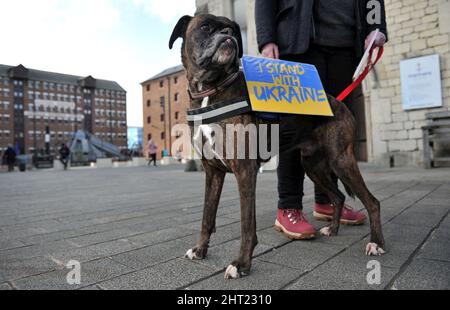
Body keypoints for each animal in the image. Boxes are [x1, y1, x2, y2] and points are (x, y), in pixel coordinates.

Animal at [171, 13, 384, 278]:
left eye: (232, 29)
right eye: (206, 27)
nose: (228, 36)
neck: (212, 89)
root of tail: (340, 103)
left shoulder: (245, 171)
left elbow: (247, 225)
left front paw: (241, 264)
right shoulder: (213, 173)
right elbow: (206, 217)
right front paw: (200, 250)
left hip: (341, 160)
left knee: (372, 202)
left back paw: (376, 243)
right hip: (314, 167)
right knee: (337, 197)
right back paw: (332, 230)